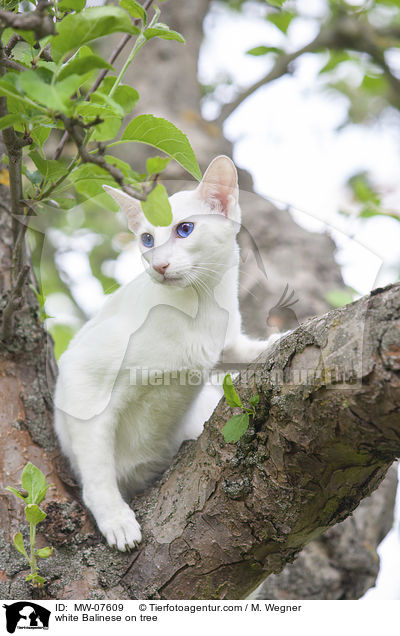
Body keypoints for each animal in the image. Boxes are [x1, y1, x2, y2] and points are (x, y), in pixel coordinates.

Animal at [53, 157, 278, 548]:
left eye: (184, 229)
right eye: (146, 239)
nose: (158, 265)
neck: (199, 308)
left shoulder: (227, 346)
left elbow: (251, 350)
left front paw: (286, 337)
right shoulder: (82, 378)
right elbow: (97, 472)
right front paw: (116, 519)